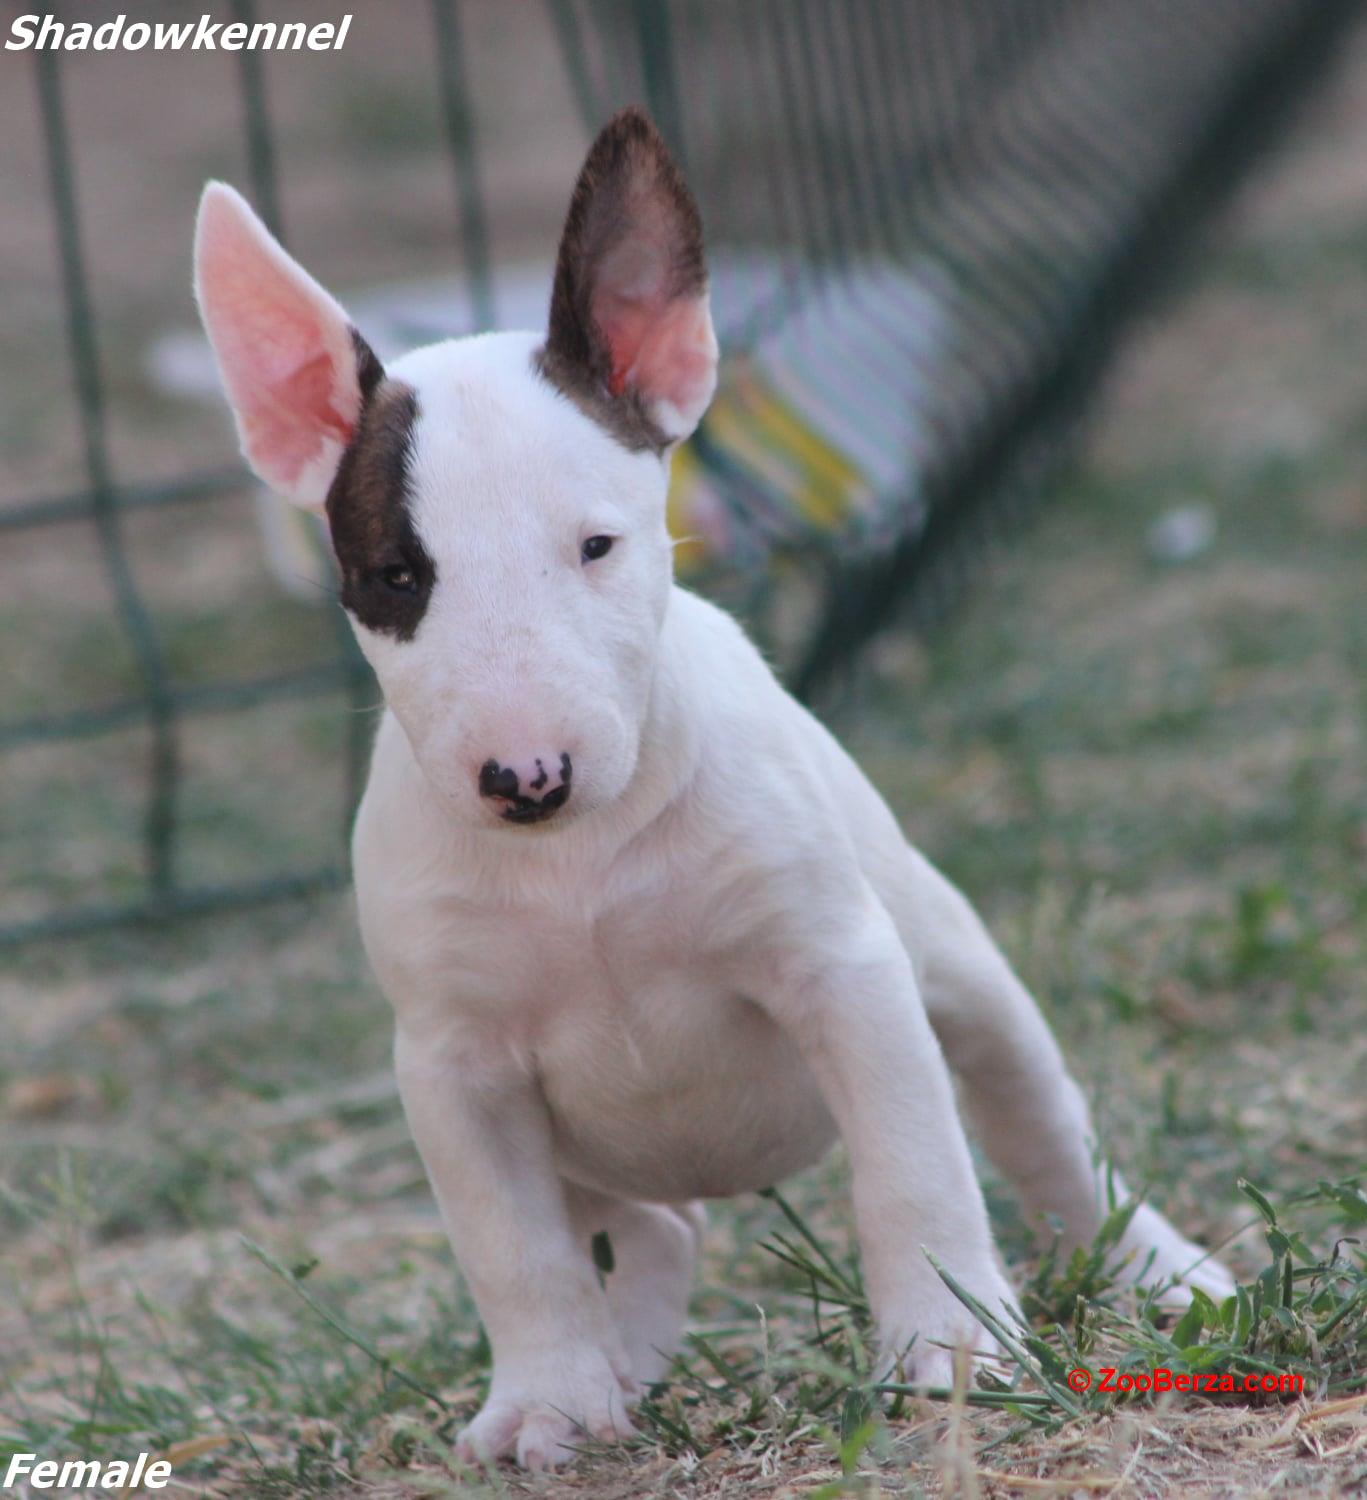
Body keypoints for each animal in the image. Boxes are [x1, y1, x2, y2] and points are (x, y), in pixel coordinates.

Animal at [195, 111, 1242, 1470]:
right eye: (394, 575)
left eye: (597, 545)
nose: (524, 779)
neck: (577, 860)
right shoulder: (452, 1068)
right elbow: (511, 1251)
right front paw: (544, 1399)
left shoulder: (842, 969)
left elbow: (912, 1167)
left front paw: (947, 1351)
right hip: (593, 1153)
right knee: (649, 1230)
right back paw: (619, 1366)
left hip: (961, 971)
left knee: (1041, 1126)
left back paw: (1161, 1271)